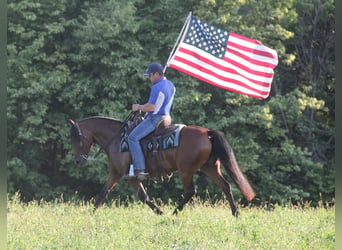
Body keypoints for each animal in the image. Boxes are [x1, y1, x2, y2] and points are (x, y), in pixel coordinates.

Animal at [69, 112, 254, 216]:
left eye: (77, 138)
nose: (78, 160)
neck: (116, 139)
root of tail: (206, 133)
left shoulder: (130, 177)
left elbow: (144, 196)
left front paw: (160, 213)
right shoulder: (115, 172)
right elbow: (102, 193)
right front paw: (91, 214)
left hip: (186, 170)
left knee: (190, 191)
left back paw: (173, 214)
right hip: (209, 167)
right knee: (226, 186)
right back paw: (235, 213)